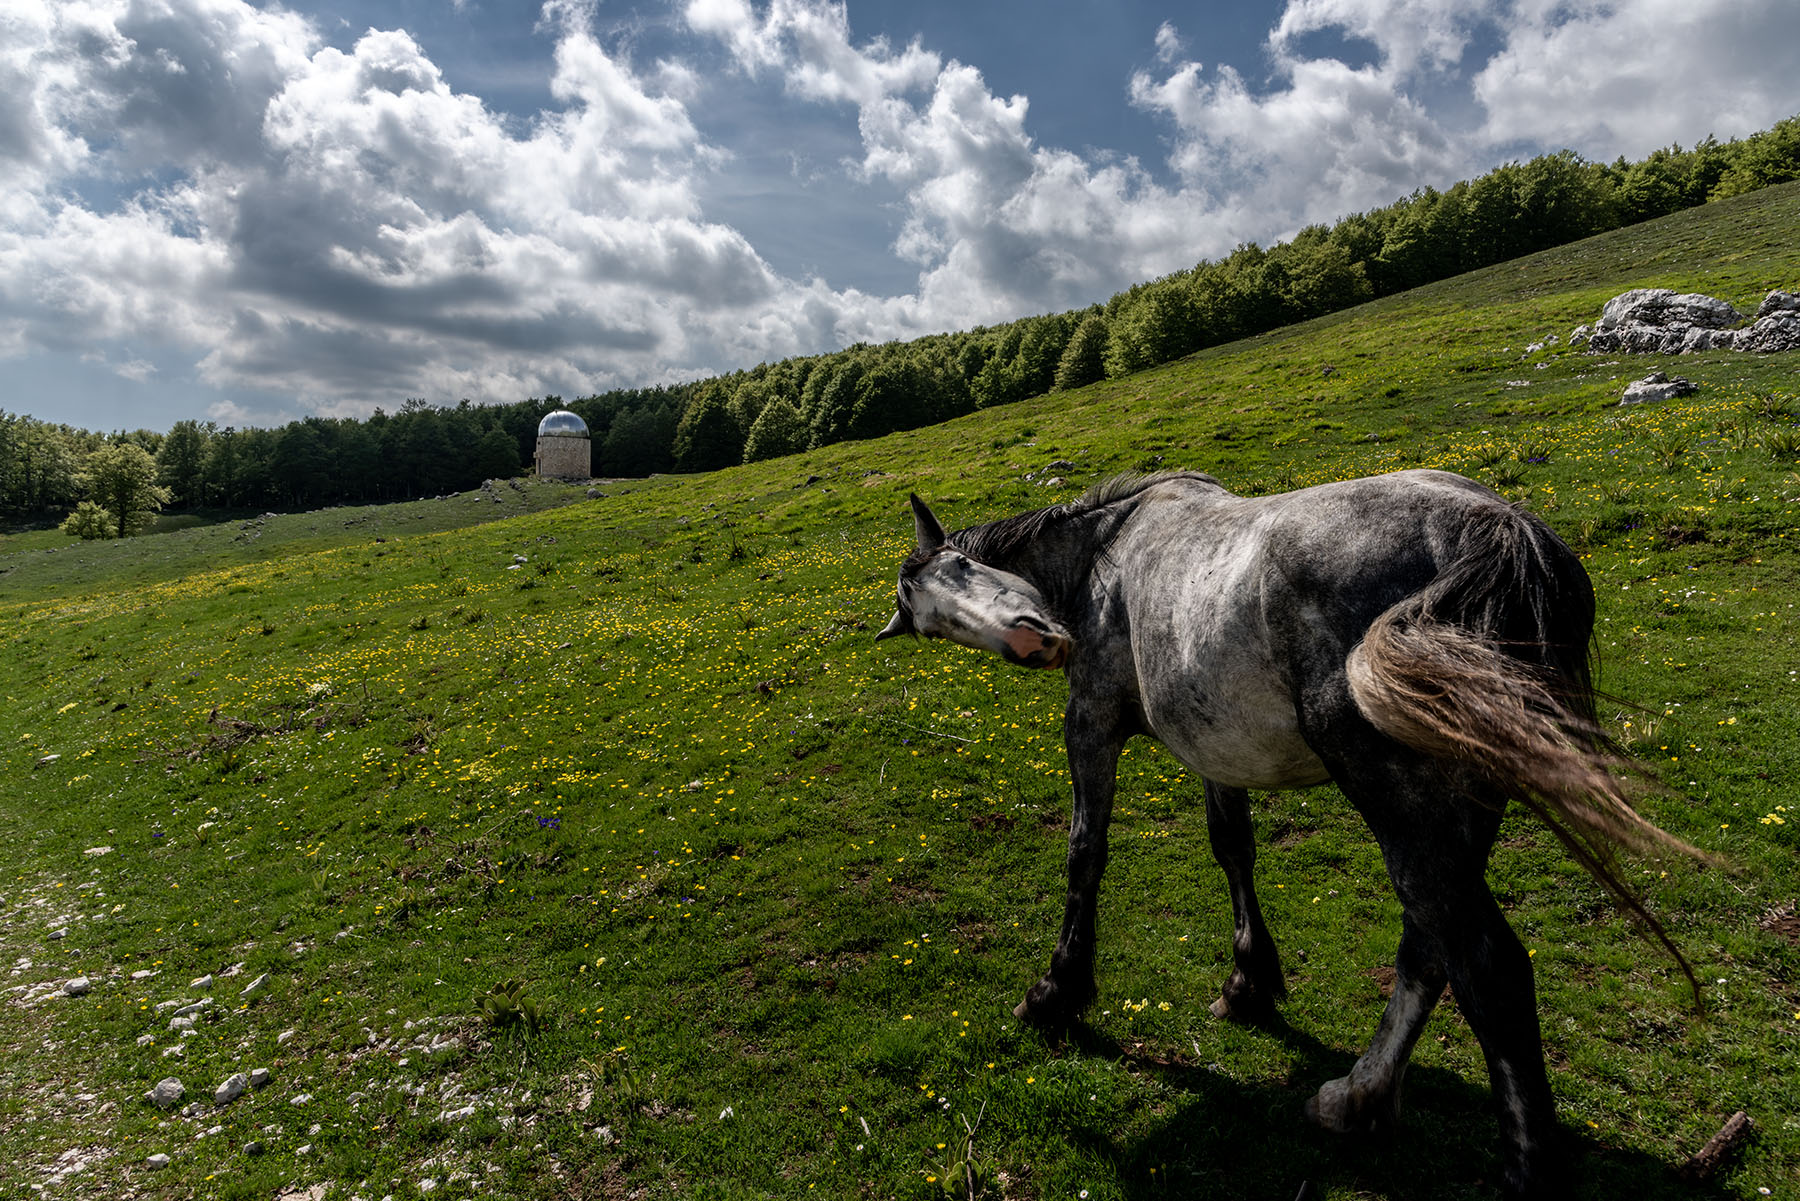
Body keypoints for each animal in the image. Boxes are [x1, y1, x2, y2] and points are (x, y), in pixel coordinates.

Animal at [875, 468, 1697, 1199]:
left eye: (961, 567)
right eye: (934, 622)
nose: (1032, 640)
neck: (1105, 554)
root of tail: (1497, 530)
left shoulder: (1092, 723)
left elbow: (1086, 855)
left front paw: (1057, 992)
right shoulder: (1213, 746)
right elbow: (1231, 847)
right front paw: (1249, 982)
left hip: (1399, 796)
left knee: (1486, 964)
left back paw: (1523, 1169)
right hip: (1463, 803)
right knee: (1430, 943)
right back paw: (1356, 1098)